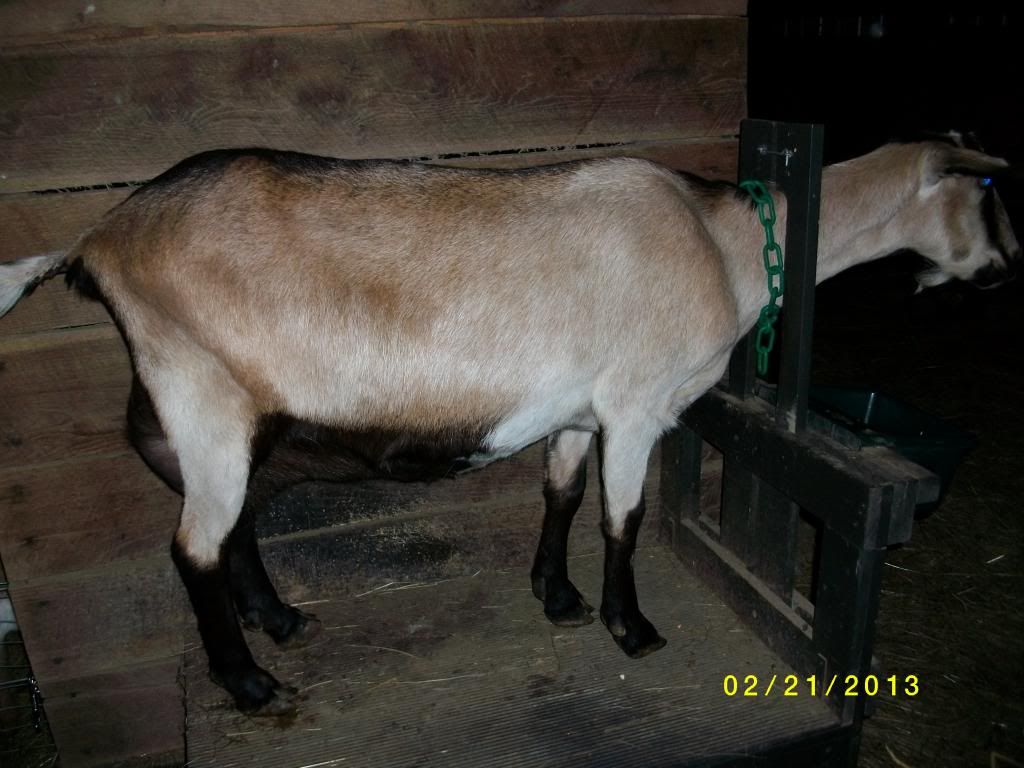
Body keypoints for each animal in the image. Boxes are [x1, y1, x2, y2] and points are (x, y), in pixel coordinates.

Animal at [0, 137, 1018, 716]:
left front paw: (557, 597)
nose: (1007, 267)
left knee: (232, 527)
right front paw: (630, 626)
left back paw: (281, 621)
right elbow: (622, 519)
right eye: (989, 194)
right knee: (195, 548)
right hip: (200, 393)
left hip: (232, 415)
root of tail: (97, 239)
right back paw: (251, 684)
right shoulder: (636, 405)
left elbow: (562, 494)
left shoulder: (578, 407)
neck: (722, 241)